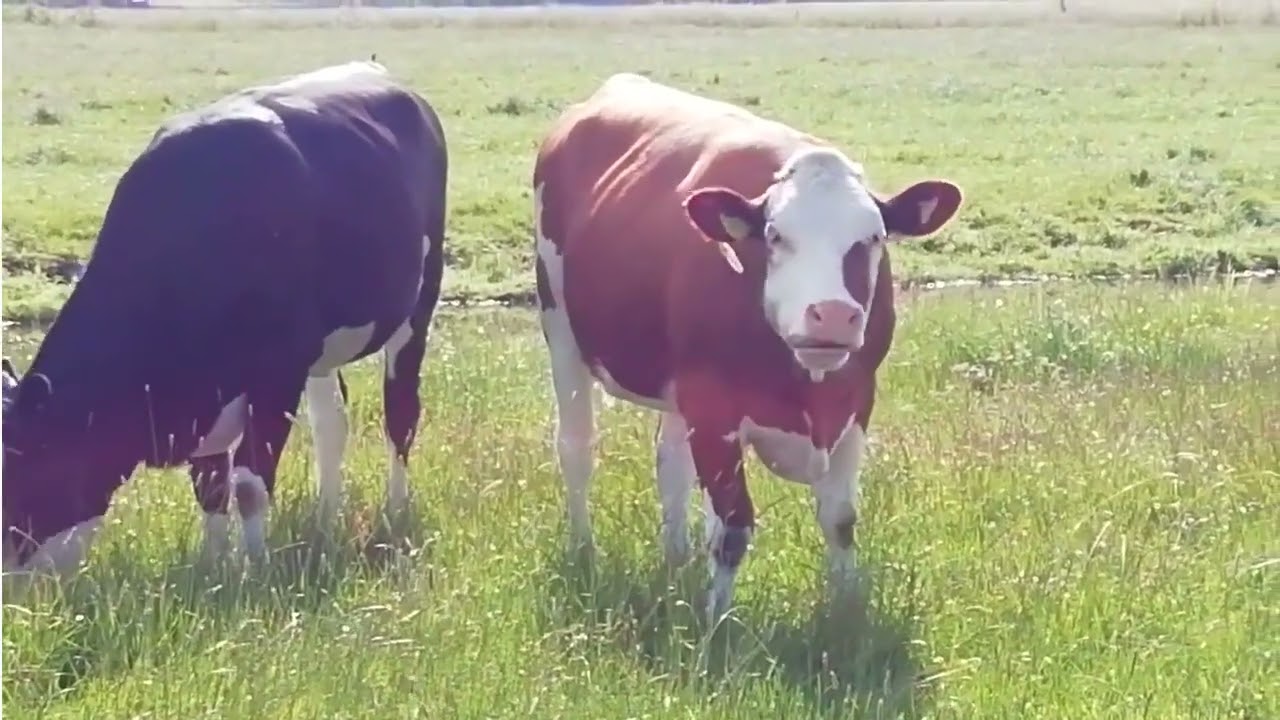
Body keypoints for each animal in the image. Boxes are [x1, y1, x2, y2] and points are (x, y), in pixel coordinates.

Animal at [2, 60, 448, 578]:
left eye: (24, 476)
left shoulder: (276, 374)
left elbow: (249, 485)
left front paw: (253, 569)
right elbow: (210, 484)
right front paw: (214, 565)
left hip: (417, 305)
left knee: (401, 414)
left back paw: (395, 509)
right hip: (320, 354)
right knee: (330, 423)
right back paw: (325, 515)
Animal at [533, 73, 962, 622]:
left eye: (873, 237)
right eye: (775, 235)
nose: (832, 314)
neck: (806, 388)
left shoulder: (857, 401)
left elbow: (841, 518)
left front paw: (847, 607)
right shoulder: (714, 410)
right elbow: (734, 526)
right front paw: (717, 620)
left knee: (670, 463)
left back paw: (677, 559)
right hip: (560, 328)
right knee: (576, 448)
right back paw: (584, 550)